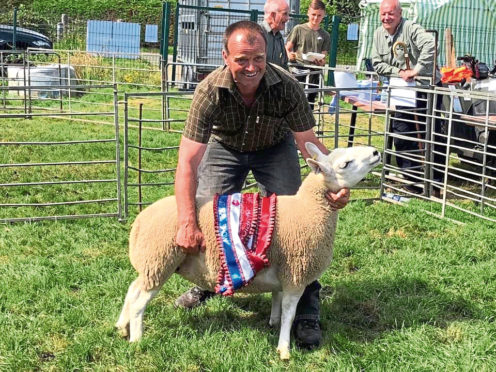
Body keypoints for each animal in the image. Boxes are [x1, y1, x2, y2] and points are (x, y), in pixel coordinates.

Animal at [116, 144, 380, 358]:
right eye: (345, 164)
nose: (376, 152)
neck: (309, 209)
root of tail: (139, 221)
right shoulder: (296, 272)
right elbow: (289, 312)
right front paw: (284, 349)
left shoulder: (283, 270)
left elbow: (277, 300)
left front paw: (273, 323)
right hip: (159, 260)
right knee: (139, 302)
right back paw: (137, 339)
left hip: (151, 264)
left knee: (132, 288)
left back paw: (121, 327)